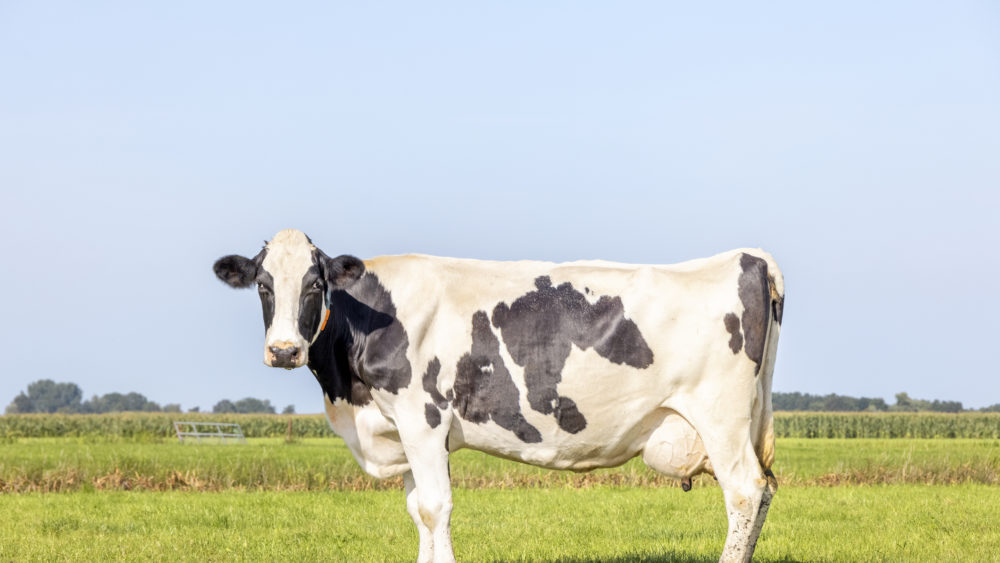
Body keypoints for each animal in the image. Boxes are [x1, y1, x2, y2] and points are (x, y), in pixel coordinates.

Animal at [213, 229, 784, 563]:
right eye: (263, 285)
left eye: (315, 284)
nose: (283, 350)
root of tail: (747, 257)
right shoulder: (403, 433)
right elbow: (417, 509)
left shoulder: (423, 419)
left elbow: (435, 508)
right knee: (764, 492)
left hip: (721, 417)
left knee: (744, 492)